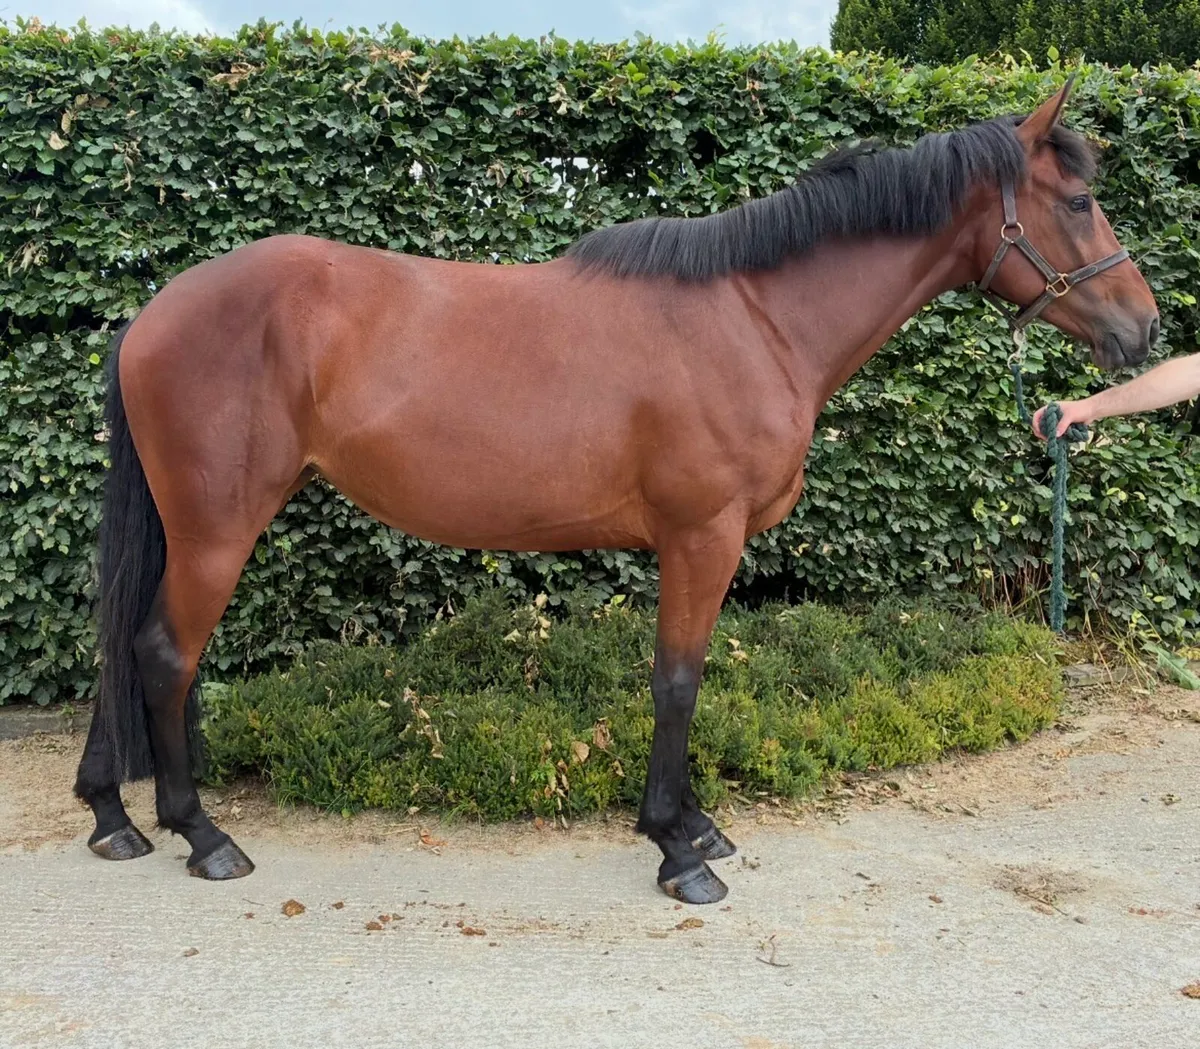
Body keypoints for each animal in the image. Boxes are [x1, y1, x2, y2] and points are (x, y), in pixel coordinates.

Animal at [75, 81, 1158, 904]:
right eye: (1075, 201)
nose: (1143, 329)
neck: (757, 317)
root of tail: (154, 314)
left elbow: (689, 677)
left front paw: (699, 825)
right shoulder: (701, 536)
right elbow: (677, 679)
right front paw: (678, 848)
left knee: (122, 645)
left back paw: (114, 816)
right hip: (217, 528)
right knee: (163, 652)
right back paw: (201, 833)